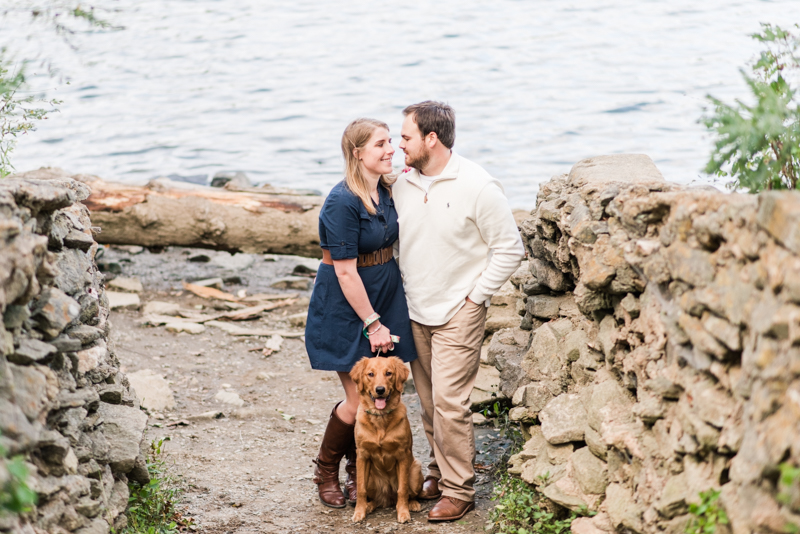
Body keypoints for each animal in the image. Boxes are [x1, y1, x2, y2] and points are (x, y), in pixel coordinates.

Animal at [350, 356, 424, 524]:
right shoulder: (362, 455)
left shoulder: (402, 455)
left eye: (389, 373)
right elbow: (361, 489)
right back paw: (369, 506)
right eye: (370, 374)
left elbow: (402, 489)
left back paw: (413, 504)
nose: (380, 390)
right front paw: (359, 512)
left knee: (409, 493)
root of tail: (387, 497)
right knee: (374, 498)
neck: (380, 418)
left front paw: (403, 513)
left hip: (415, 471)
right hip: (370, 478)